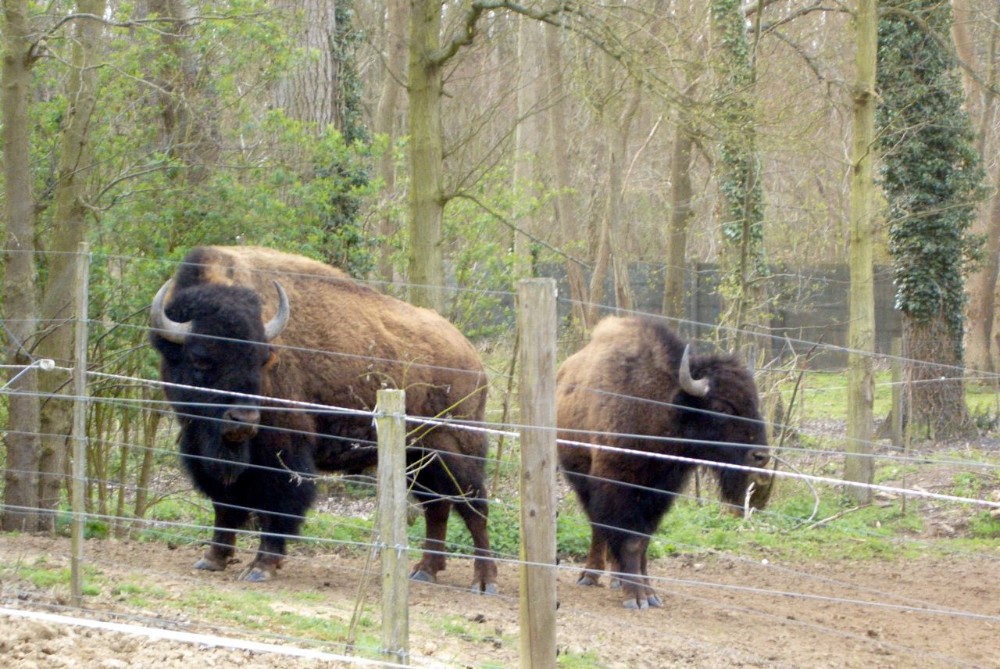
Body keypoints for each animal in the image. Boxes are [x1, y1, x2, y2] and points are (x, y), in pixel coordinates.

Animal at [149, 246, 497, 593]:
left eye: (262, 359)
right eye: (200, 359)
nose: (244, 419)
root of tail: (470, 354)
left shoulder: (283, 452)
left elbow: (278, 504)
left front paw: (262, 566)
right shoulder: (206, 451)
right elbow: (225, 505)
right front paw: (212, 559)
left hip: (455, 449)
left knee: (473, 505)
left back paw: (484, 581)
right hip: (419, 456)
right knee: (438, 506)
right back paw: (425, 570)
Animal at [556, 316, 770, 609]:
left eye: (755, 404)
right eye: (721, 408)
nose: (761, 456)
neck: (660, 406)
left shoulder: (660, 493)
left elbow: (642, 541)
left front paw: (648, 592)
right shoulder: (616, 486)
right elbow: (627, 537)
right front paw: (636, 597)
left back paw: (615, 578)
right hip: (581, 478)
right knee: (597, 525)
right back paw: (590, 575)